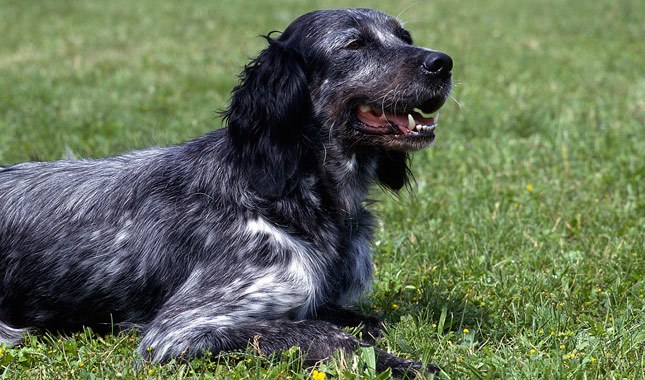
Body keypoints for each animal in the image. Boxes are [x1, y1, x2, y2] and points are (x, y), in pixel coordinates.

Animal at [1, 7, 452, 376]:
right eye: (354, 44)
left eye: (405, 37)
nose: (443, 63)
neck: (287, 191)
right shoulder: (179, 331)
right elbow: (325, 335)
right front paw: (405, 364)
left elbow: (360, 320)